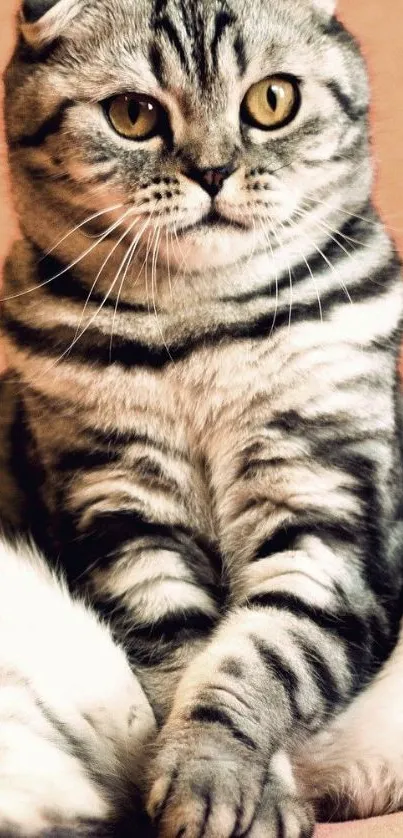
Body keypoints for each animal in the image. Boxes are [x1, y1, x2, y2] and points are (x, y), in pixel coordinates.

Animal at [0, 0, 403, 836]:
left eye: (271, 101)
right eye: (133, 115)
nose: (213, 172)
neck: (199, 334)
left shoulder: (326, 512)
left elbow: (262, 654)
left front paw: (217, 776)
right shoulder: (122, 515)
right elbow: (189, 658)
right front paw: (239, 792)